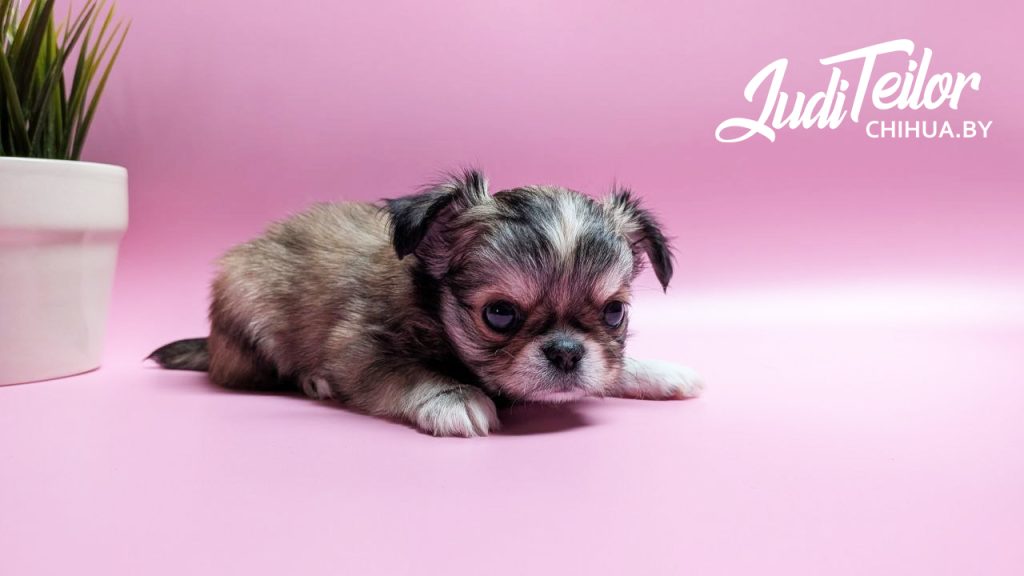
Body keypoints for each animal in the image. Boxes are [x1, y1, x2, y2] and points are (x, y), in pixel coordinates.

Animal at [149, 169, 703, 436]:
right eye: (500, 314)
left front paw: (658, 371)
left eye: (614, 312)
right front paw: (453, 396)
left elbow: (612, 367)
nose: (567, 352)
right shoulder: (360, 347)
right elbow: (405, 373)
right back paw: (315, 381)